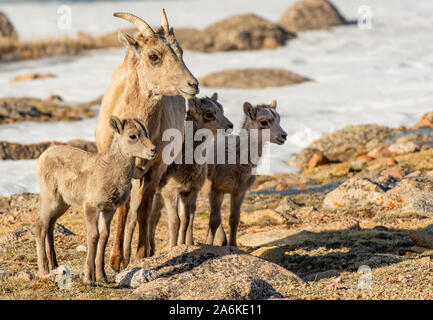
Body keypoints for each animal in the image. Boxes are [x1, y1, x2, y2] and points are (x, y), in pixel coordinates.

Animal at [35, 117, 154, 284]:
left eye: (146, 133)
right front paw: (89, 279)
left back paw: (55, 266)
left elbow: (104, 236)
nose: (153, 150)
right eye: (132, 136)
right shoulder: (91, 207)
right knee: (40, 226)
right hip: (50, 198)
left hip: (62, 204)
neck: (109, 172)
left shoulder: (109, 209)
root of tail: (42, 158)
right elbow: (93, 236)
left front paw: (102, 277)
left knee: (50, 225)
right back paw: (44, 270)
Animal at [94, 10, 199, 272]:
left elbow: (143, 210)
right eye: (154, 56)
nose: (193, 85)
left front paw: (141, 256)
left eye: (181, 51)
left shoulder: (155, 169)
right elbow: (123, 210)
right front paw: (116, 261)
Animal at [150, 94, 235, 252]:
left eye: (221, 109)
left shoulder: (190, 191)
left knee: (154, 216)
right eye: (209, 114)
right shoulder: (170, 191)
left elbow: (186, 220)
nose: (230, 126)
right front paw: (173, 248)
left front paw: (184, 244)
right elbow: (175, 221)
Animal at [206, 101, 286, 246]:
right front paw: (208, 244)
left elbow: (234, 219)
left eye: (279, 119)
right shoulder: (216, 189)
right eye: (264, 122)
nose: (284, 136)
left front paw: (233, 245)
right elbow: (214, 220)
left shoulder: (239, 192)